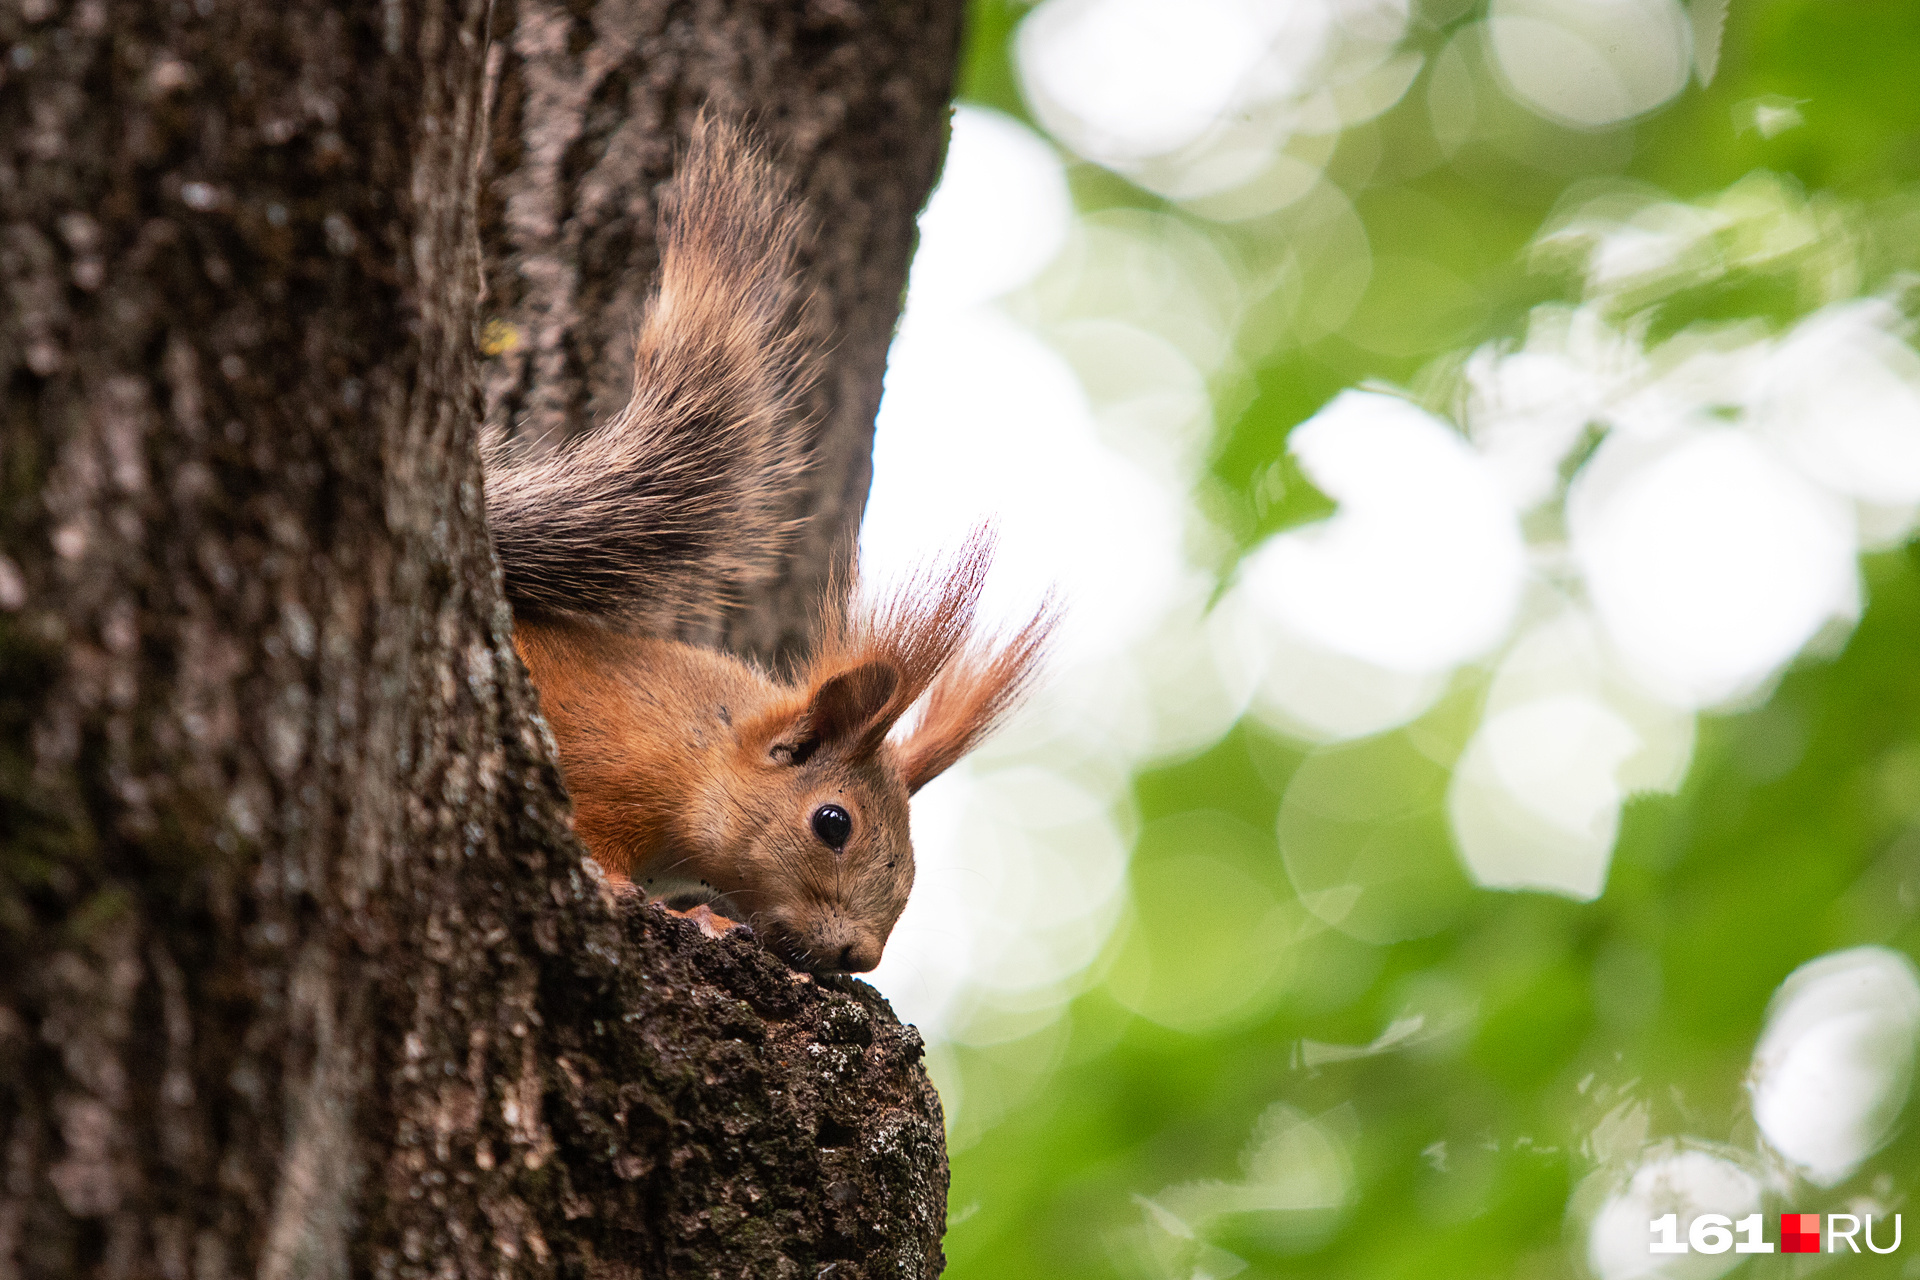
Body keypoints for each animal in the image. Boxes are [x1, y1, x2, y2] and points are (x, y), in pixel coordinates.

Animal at [480, 122, 1052, 982]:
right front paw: (639, 895)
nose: (858, 956)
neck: (701, 746)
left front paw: (711, 919)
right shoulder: (606, 771)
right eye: (832, 823)